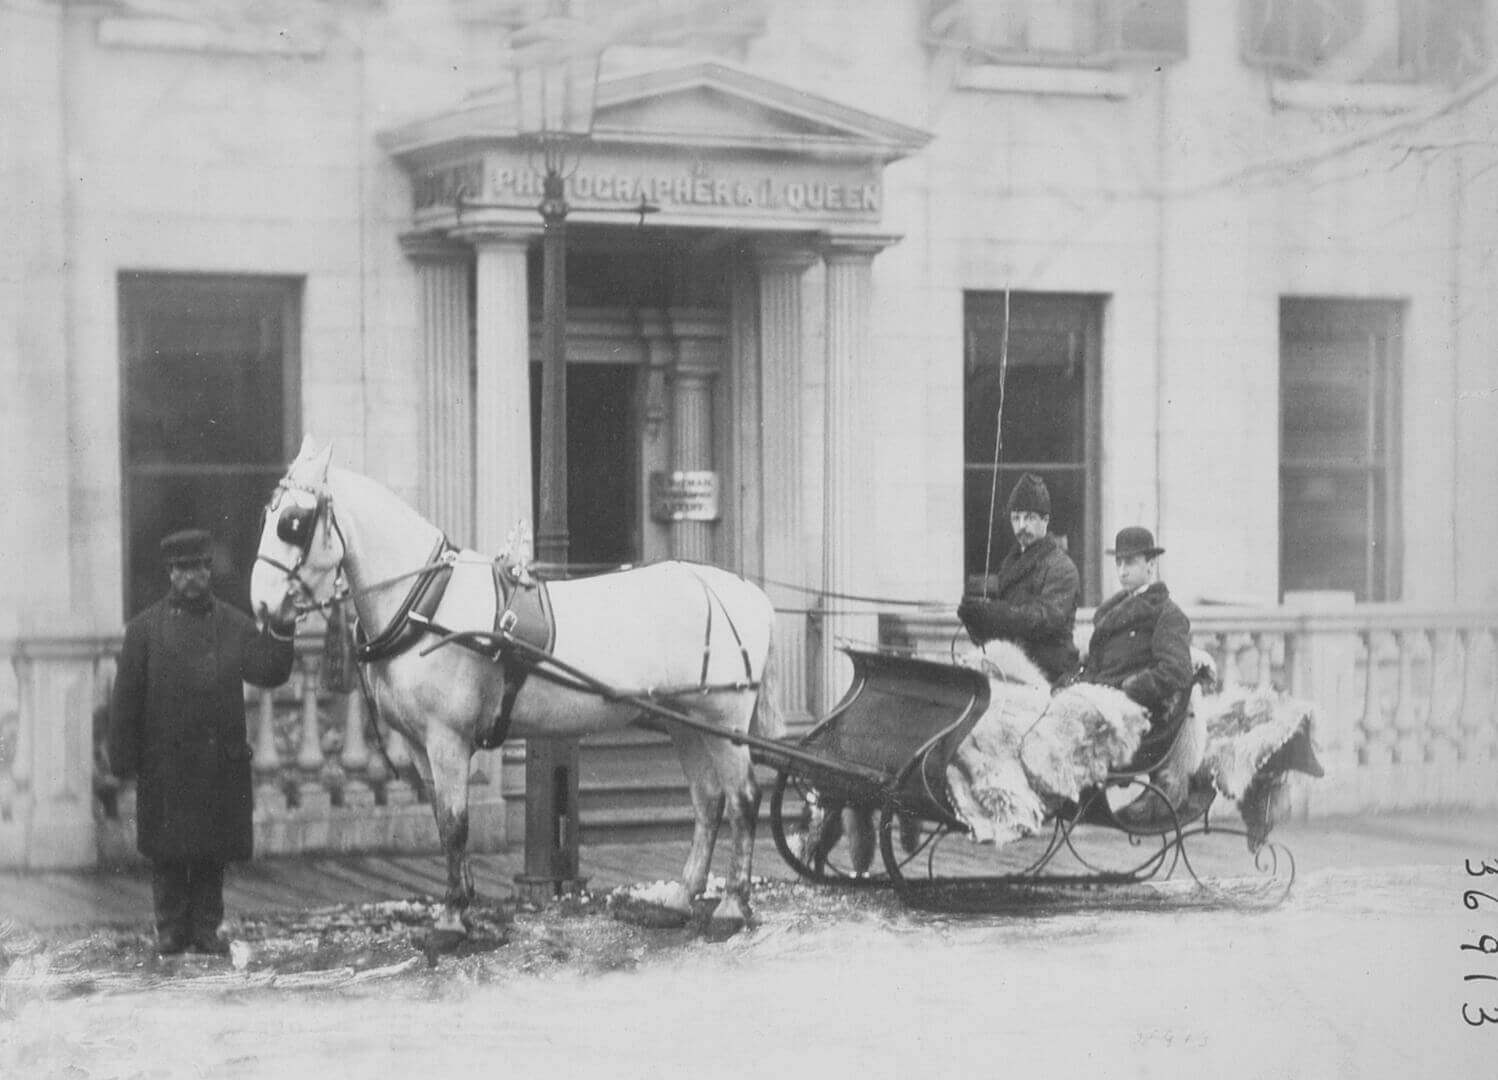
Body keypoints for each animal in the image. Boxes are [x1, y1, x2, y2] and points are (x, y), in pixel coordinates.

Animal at [245, 437, 784, 946]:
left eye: (293, 522)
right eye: (268, 514)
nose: (262, 605)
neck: (426, 603)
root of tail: (749, 592)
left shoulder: (447, 738)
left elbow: (456, 823)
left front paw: (451, 920)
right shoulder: (421, 744)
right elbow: (442, 819)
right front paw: (462, 906)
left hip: (722, 720)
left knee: (743, 799)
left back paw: (732, 906)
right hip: (684, 720)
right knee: (708, 801)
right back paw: (679, 899)